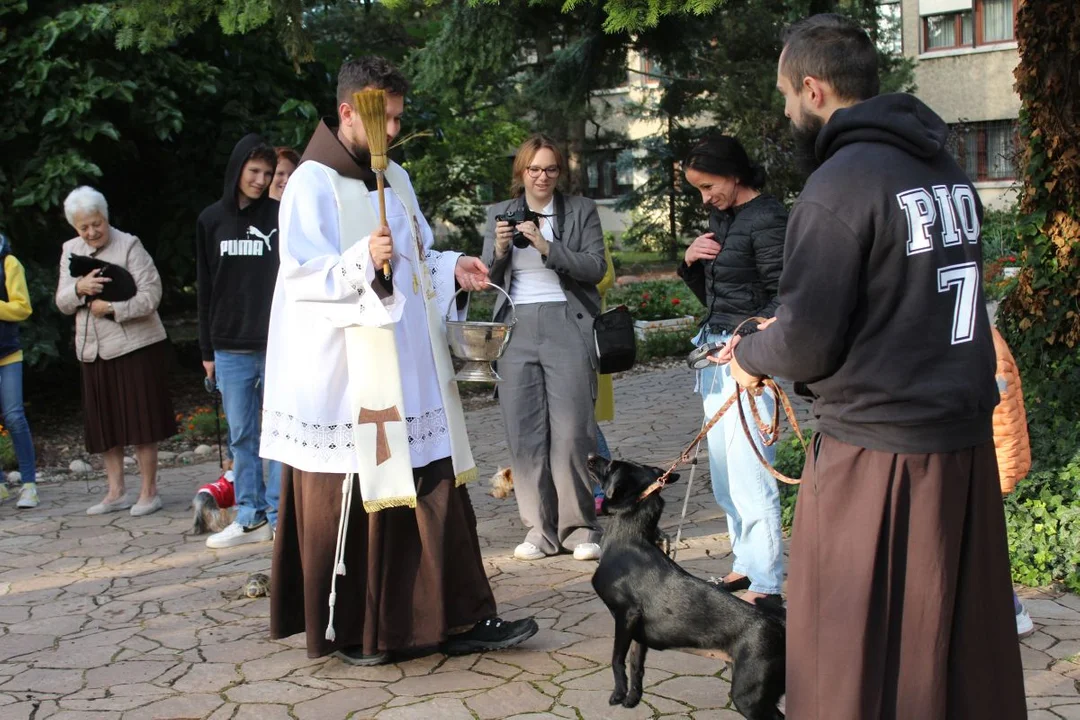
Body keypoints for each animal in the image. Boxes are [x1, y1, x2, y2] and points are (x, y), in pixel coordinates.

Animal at [591, 459, 786, 716]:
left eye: (611, 465)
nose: (590, 457)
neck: (626, 538)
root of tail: (780, 626)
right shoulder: (637, 633)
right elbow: (635, 665)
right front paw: (632, 698)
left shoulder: (626, 616)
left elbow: (616, 659)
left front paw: (618, 693)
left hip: (748, 696)